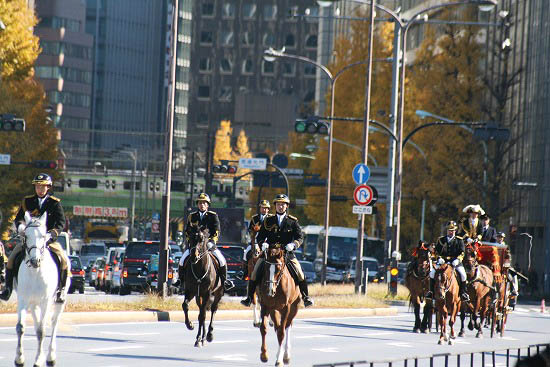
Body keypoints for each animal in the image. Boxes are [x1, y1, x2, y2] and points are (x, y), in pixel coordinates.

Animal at [14, 213, 67, 367]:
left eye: (43, 236)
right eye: (26, 235)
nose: (34, 261)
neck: (35, 272)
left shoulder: (46, 301)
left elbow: (42, 331)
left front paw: (38, 360)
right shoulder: (23, 299)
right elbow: (21, 327)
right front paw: (19, 359)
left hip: (58, 302)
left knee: (54, 323)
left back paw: (50, 357)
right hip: (34, 303)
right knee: (37, 322)